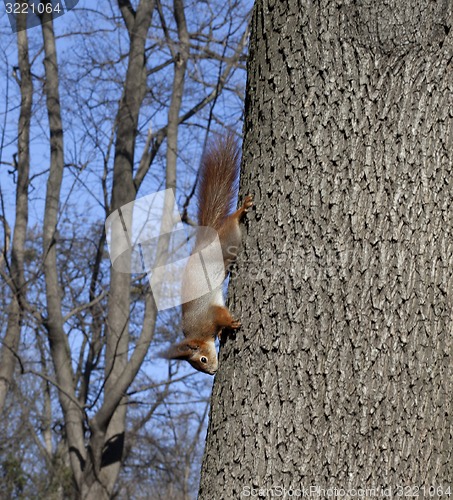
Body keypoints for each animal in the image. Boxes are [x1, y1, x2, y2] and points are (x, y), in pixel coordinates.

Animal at [162, 135, 252, 374]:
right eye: (199, 365)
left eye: (202, 359)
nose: (211, 371)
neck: (198, 332)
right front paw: (222, 333)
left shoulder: (210, 314)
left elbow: (221, 315)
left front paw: (230, 324)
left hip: (228, 241)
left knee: (231, 225)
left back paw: (241, 211)